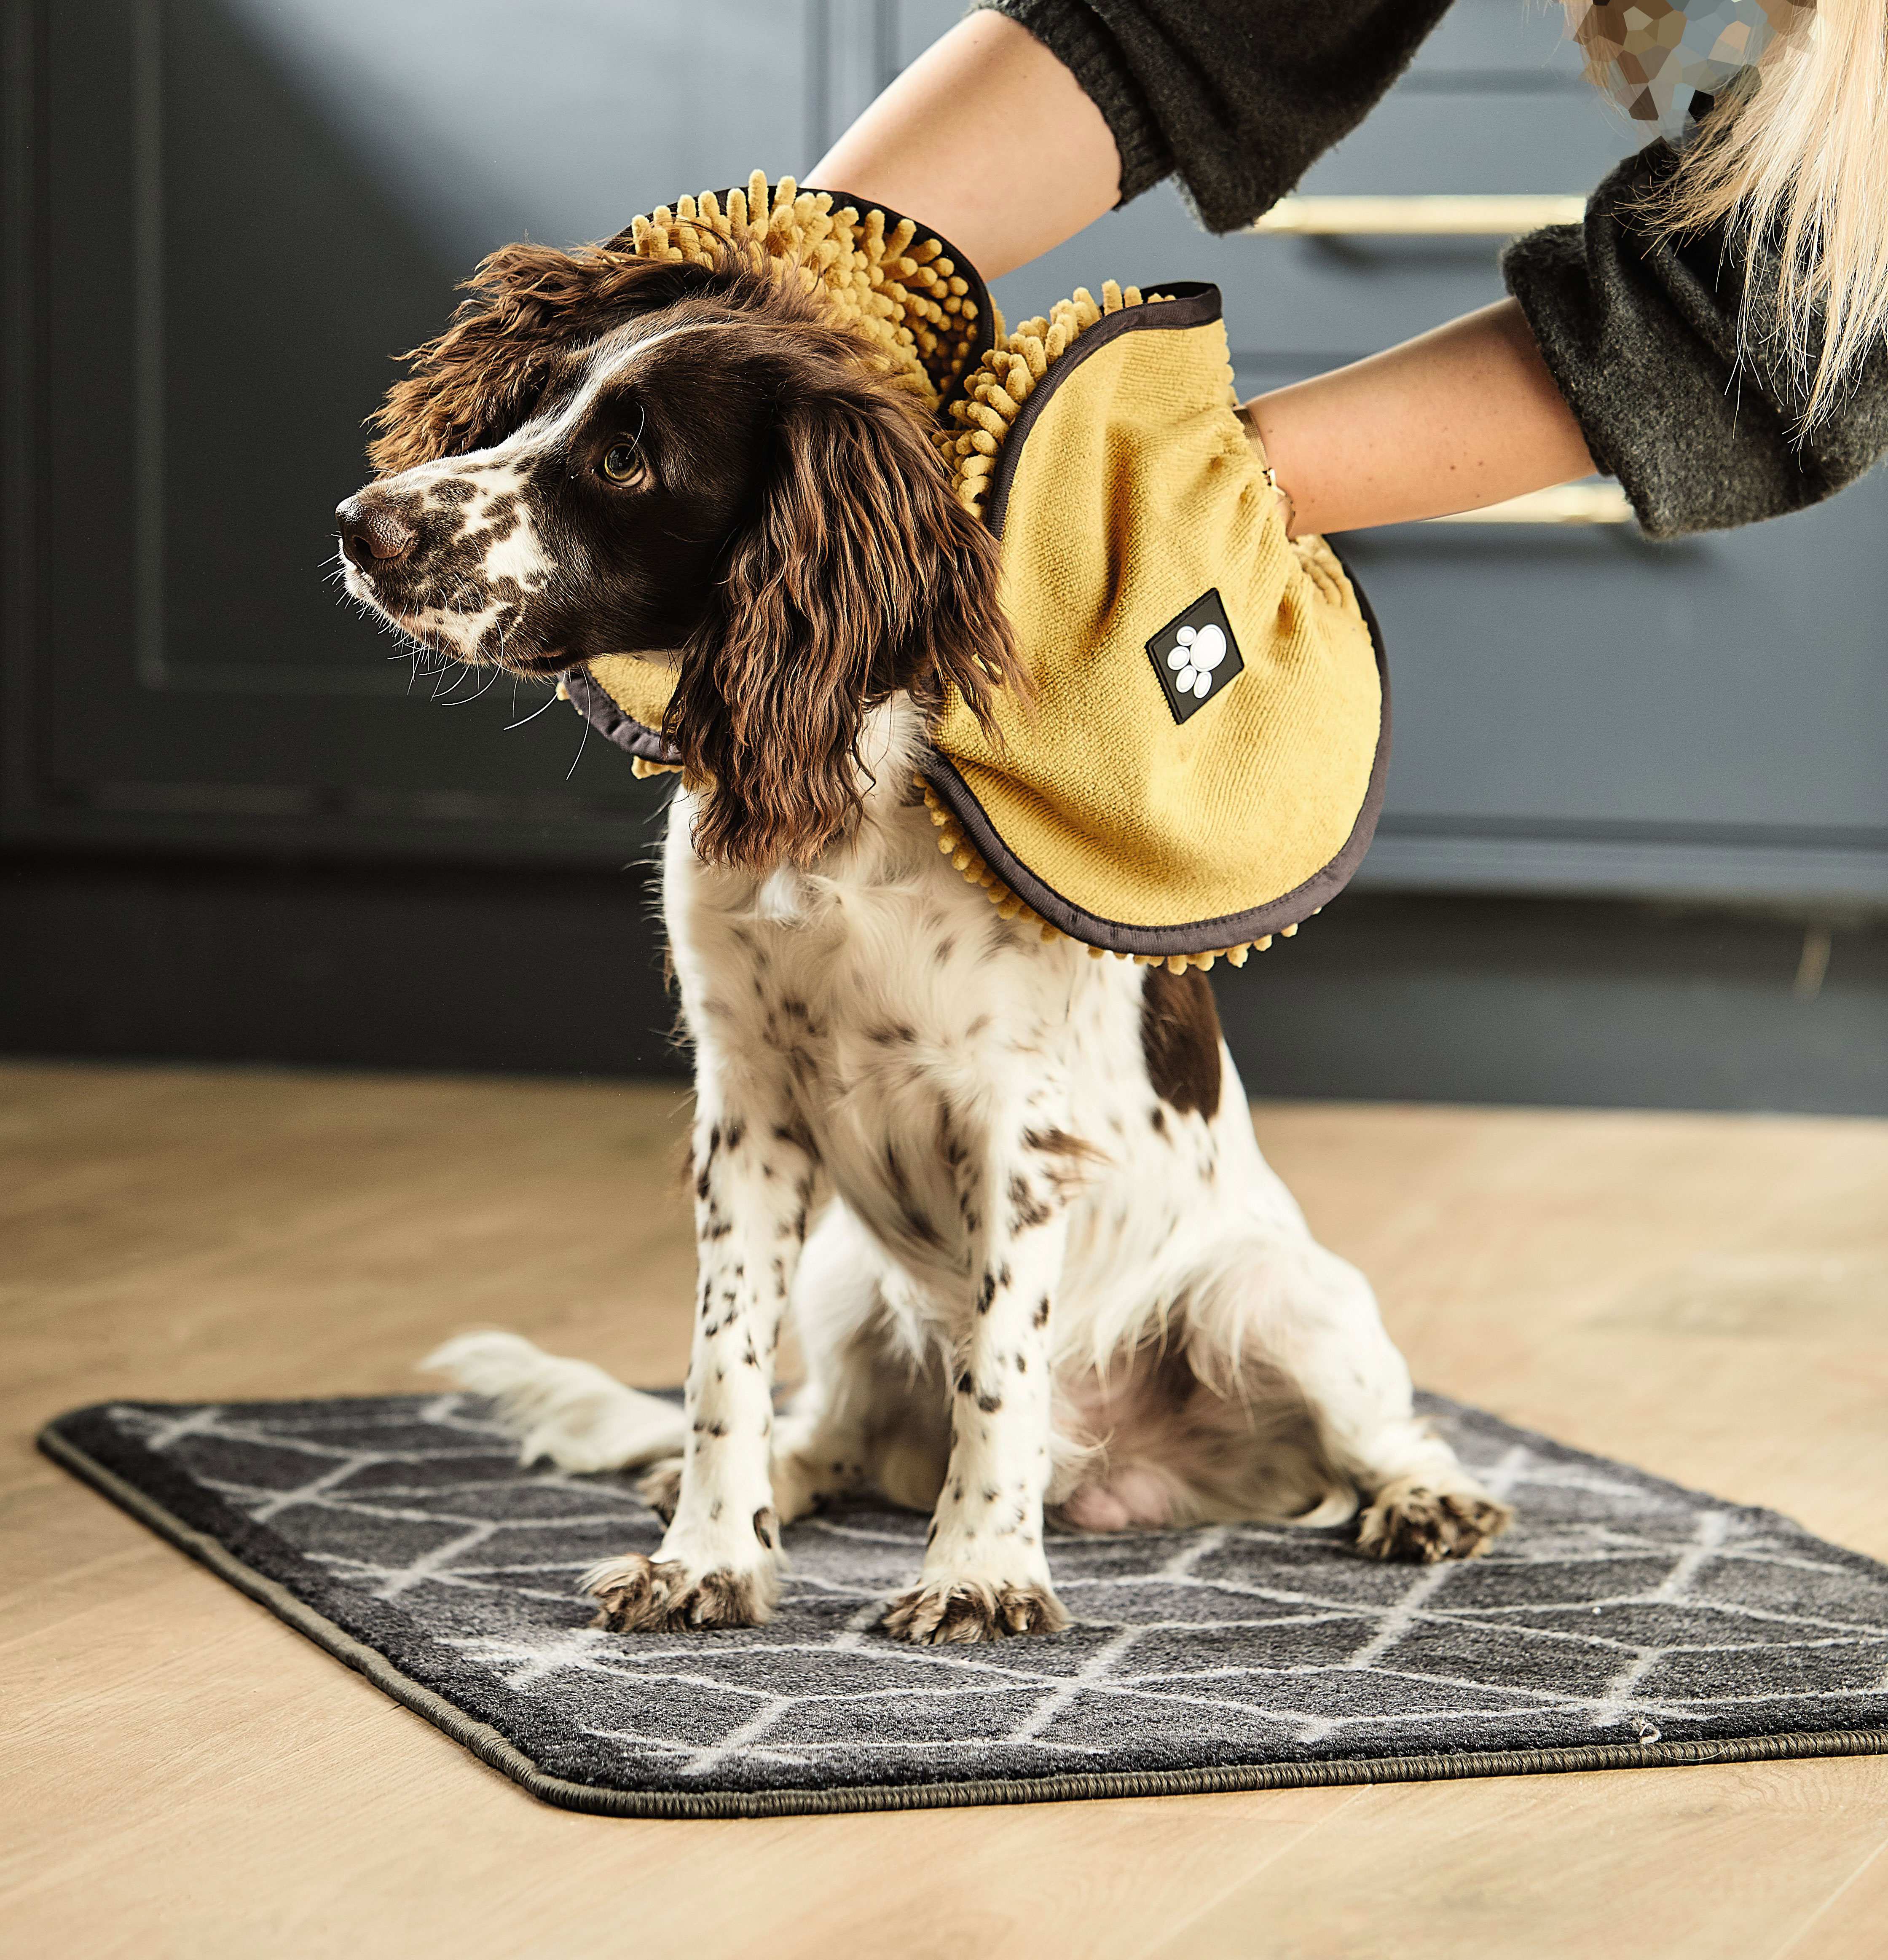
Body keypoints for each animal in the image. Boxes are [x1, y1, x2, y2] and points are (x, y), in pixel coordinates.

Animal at [339, 249, 1513, 1654]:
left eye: (626, 459)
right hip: (853, 1287)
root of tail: (1119, 1473)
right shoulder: (746, 1103)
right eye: (535, 403)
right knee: (830, 1430)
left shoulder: (1017, 1121)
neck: (840, 803)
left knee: (1378, 1430)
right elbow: (723, 1364)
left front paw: (982, 1573)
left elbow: (999, 1375)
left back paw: (1425, 1499)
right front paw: (705, 1555)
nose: (356, 524)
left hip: (1273, 1295)